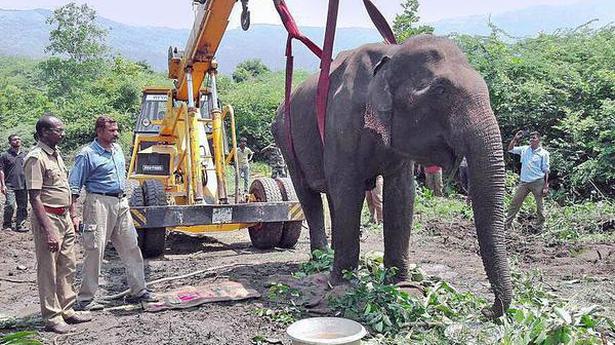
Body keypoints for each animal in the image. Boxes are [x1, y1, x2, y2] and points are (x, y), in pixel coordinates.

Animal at [272, 35, 512, 318]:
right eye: (441, 91)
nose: (488, 310)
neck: (391, 53)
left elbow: (402, 193)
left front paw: (402, 288)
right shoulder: (341, 123)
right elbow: (348, 190)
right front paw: (344, 287)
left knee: (331, 195)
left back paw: (327, 258)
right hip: (286, 140)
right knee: (307, 194)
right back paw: (320, 260)